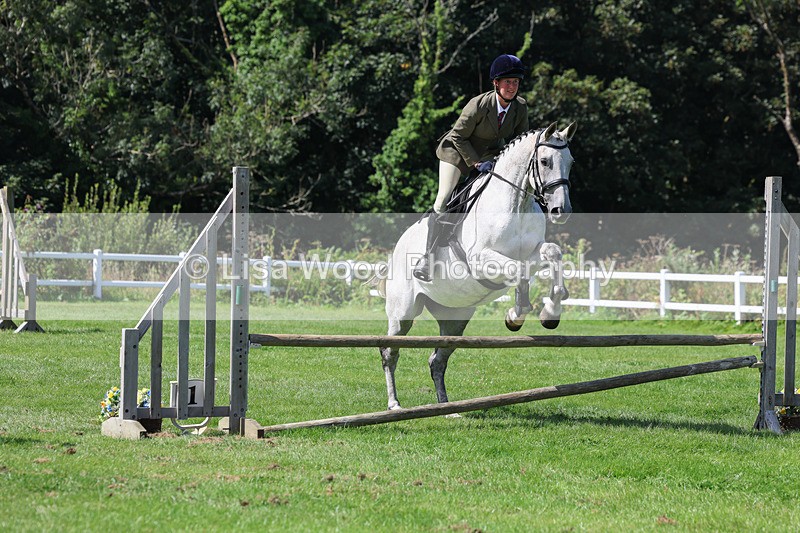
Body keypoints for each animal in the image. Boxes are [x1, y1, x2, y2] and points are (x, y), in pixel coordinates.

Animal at [375, 121, 576, 410]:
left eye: (571, 162)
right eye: (545, 161)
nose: (562, 210)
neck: (517, 204)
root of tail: (398, 248)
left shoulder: (531, 252)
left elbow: (551, 253)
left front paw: (550, 313)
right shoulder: (481, 259)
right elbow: (517, 271)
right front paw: (516, 316)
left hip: (455, 320)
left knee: (437, 360)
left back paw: (447, 409)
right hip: (403, 312)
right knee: (389, 350)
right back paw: (394, 404)